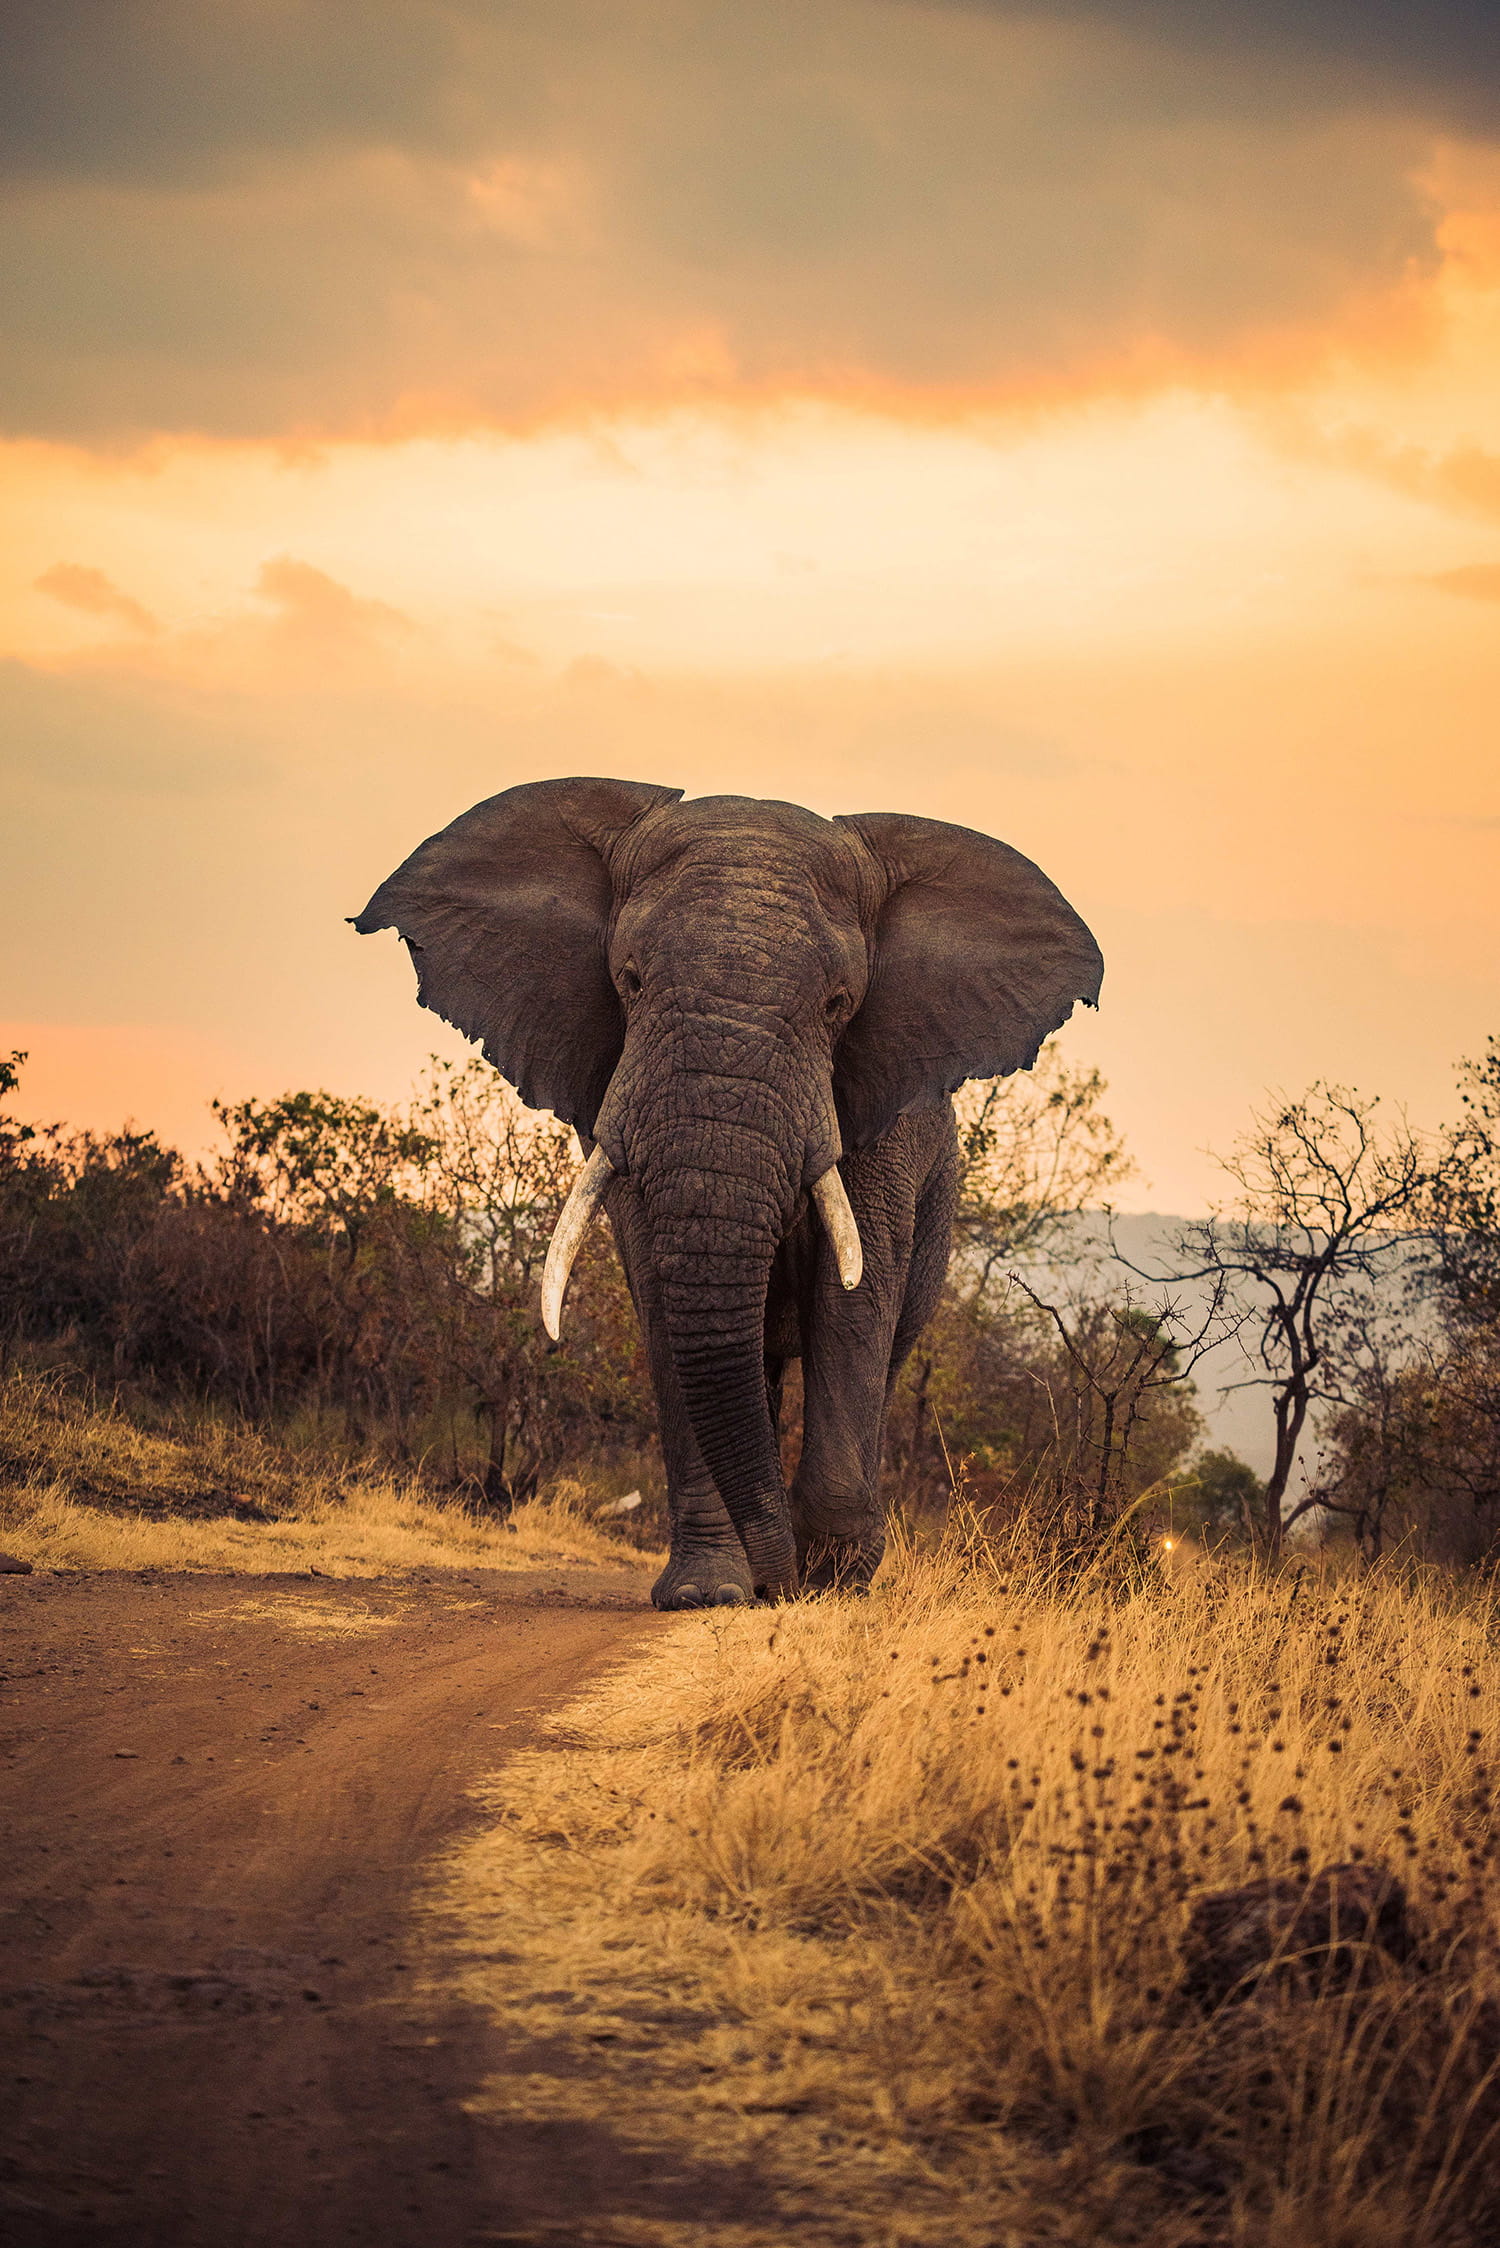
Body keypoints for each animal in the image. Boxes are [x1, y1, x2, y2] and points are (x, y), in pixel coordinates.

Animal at [354, 779, 1102, 1608]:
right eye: (630, 980)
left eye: (839, 1004)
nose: (785, 1583)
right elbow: (660, 1288)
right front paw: (708, 1591)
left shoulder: (883, 1105)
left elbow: (856, 1293)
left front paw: (828, 1583)